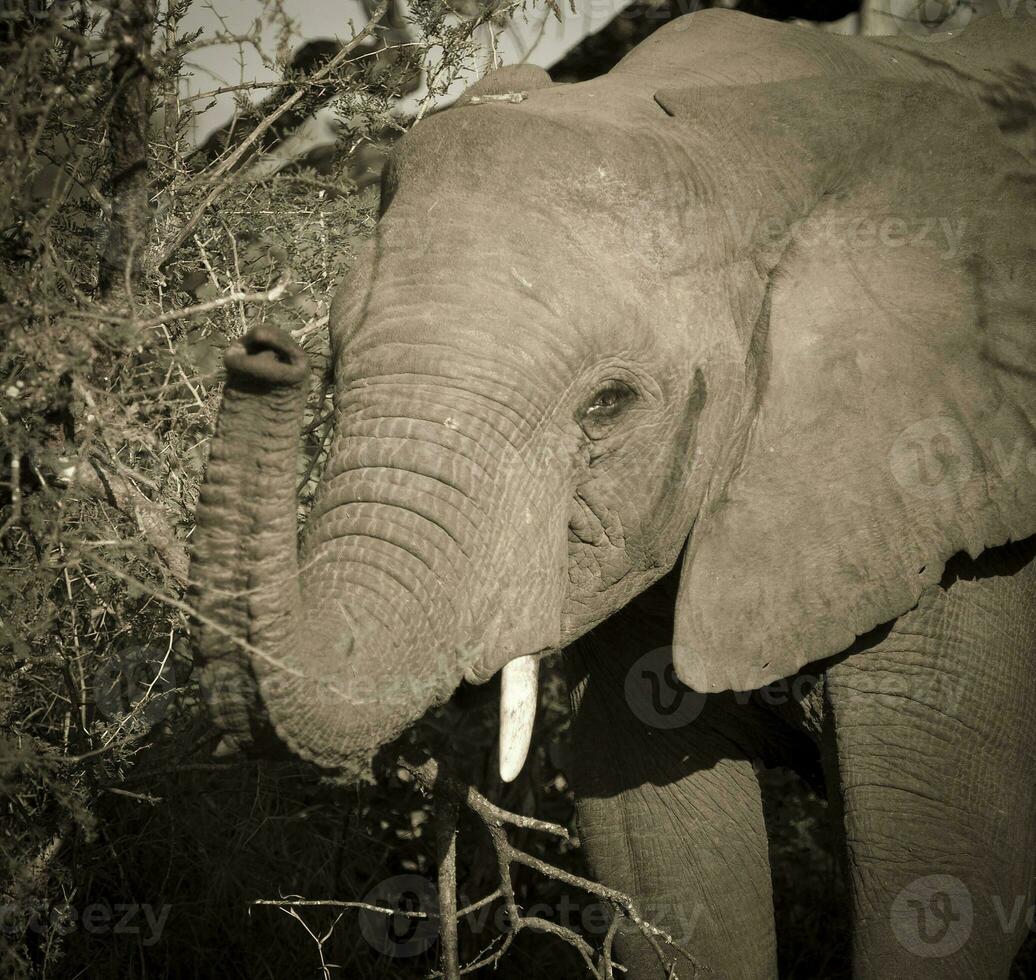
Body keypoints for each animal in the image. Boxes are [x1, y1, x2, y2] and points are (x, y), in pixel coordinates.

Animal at [190, 7, 1036, 977]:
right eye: (332, 364)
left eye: (608, 405)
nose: (263, 352)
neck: (740, 137)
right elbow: (652, 838)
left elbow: (941, 864)